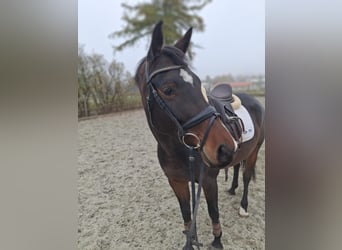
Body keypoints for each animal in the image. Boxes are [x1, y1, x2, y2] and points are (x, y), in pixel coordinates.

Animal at [134, 20, 264, 249]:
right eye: (168, 89)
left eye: (198, 83)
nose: (224, 147)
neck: (177, 149)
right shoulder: (176, 181)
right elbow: (186, 214)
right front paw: (189, 240)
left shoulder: (208, 181)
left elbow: (213, 213)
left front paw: (217, 241)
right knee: (236, 168)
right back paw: (232, 188)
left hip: (254, 152)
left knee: (247, 176)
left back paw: (243, 206)